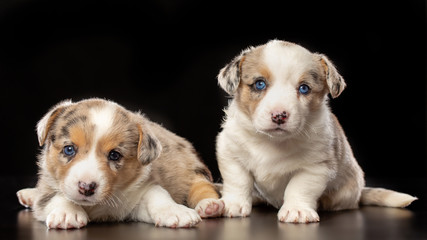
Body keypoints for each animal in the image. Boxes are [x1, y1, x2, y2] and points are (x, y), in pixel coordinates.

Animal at [16, 98, 224, 229]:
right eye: (69, 149)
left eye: (114, 155)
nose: (86, 187)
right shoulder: (48, 187)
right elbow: (54, 196)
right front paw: (67, 214)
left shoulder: (137, 195)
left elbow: (157, 193)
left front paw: (177, 212)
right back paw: (28, 195)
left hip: (194, 170)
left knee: (202, 187)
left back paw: (210, 205)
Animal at [216, 39, 416, 223]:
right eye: (260, 84)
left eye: (304, 88)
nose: (279, 115)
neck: (273, 141)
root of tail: (359, 193)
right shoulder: (231, 154)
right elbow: (238, 181)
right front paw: (233, 204)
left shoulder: (315, 167)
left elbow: (299, 187)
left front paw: (296, 210)